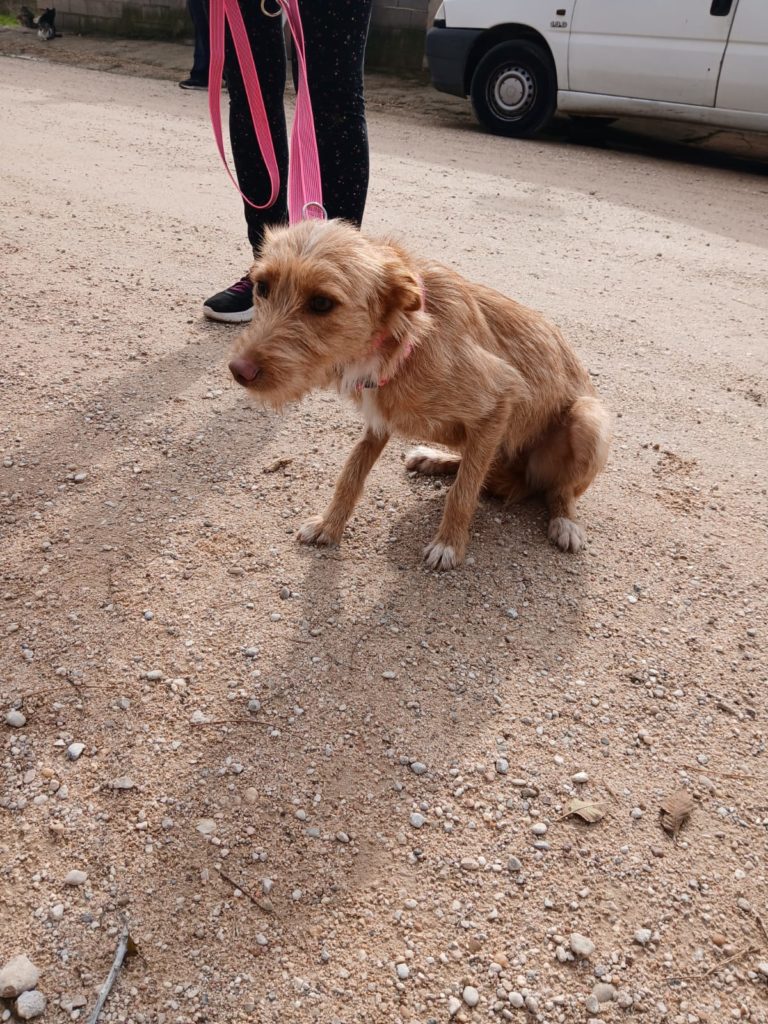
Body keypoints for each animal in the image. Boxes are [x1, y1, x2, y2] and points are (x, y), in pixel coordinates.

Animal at [228, 219, 614, 569]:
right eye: (262, 286)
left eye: (321, 303)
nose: (238, 370)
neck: (403, 338)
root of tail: (520, 479)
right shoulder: (378, 422)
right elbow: (351, 474)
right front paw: (329, 524)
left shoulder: (501, 396)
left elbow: (463, 491)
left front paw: (449, 544)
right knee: (477, 462)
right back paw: (435, 459)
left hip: (589, 419)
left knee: (554, 488)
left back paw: (564, 521)